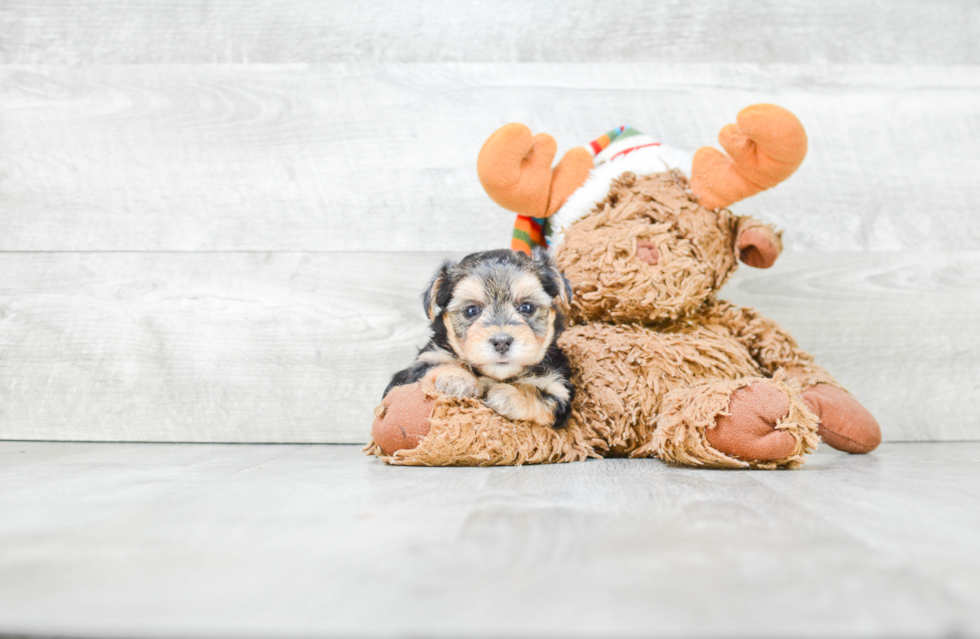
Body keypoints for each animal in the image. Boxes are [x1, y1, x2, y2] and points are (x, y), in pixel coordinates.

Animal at [384, 250, 576, 430]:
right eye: (471, 310)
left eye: (527, 307)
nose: (501, 342)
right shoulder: (418, 367)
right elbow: (437, 365)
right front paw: (459, 379)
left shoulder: (558, 389)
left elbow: (540, 395)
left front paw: (509, 395)